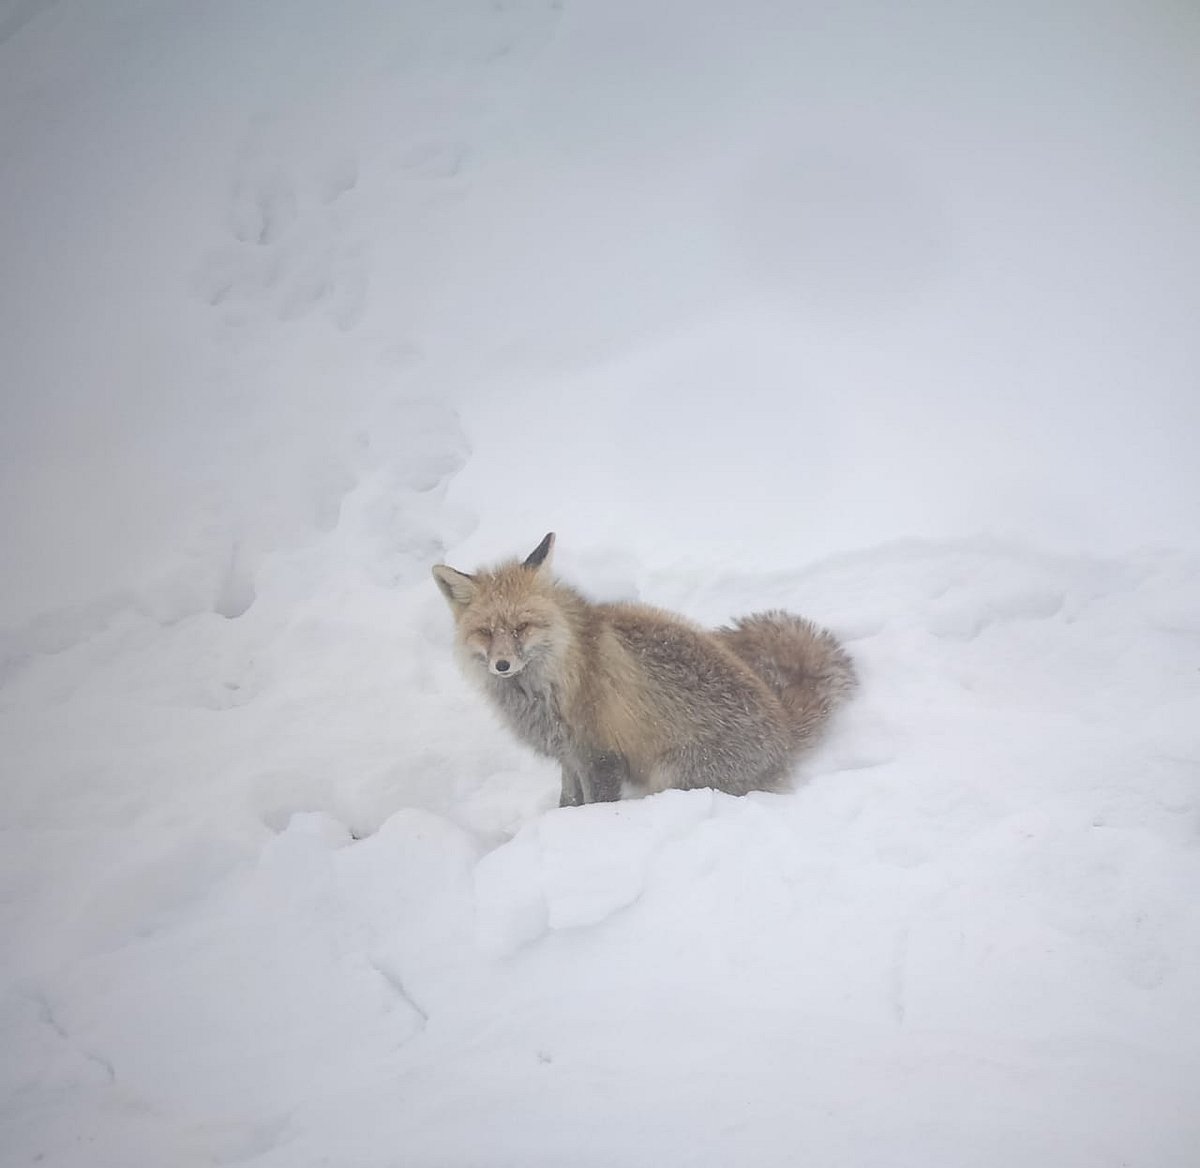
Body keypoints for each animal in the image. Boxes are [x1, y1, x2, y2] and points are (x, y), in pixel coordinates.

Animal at [432, 533, 856, 806]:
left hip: (671, 776)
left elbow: (595, 805)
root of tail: (785, 727)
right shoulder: (569, 755)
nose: (502, 665)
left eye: (522, 627)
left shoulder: (601, 755)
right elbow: (567, 802)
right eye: (486, 632)